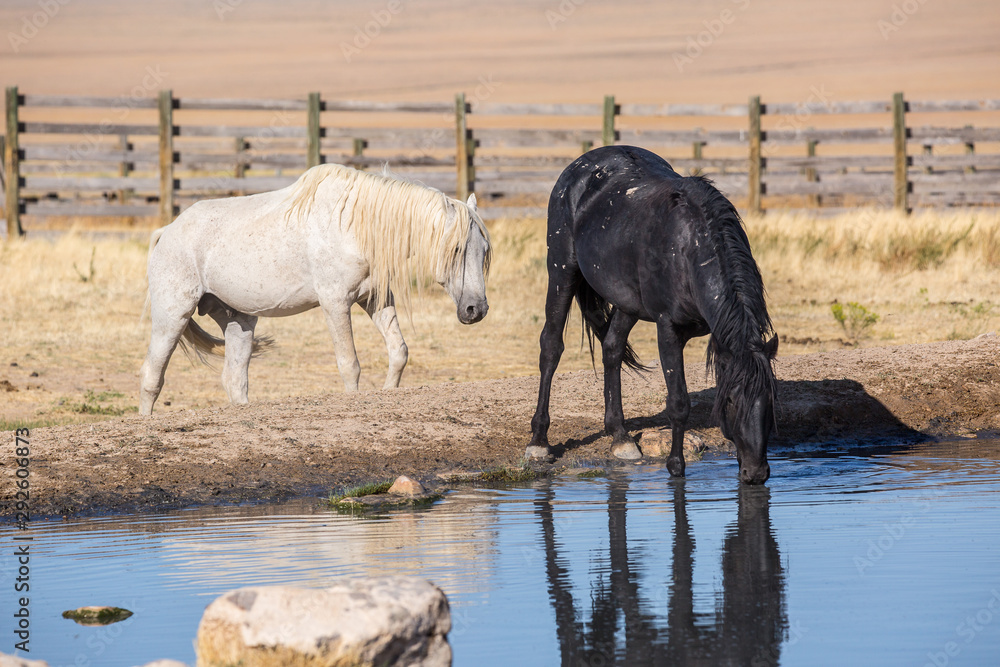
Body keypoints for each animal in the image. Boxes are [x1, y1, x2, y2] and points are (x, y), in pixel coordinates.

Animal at [140, 163, 491, 415]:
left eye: (485, 250)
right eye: (456, 249)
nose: (476, 309)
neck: (355, 224)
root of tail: (167, 231)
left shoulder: (374, 300)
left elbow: (398, 352)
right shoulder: (335, 303)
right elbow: (349, 365)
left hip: (239, 321)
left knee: (234, 379)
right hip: (172, 318)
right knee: (151, 377)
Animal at [525, 146, 777, 484]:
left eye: (770, 403)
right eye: (731, 401)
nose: (756, 473)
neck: (689, 247)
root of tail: (580, 166)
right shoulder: (667, 328)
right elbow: (679, 402)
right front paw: (676, 466)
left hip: (626, 302)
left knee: (612, 348)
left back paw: (620, 437)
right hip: (562, 271)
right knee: (551, 347)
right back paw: (539, 442)